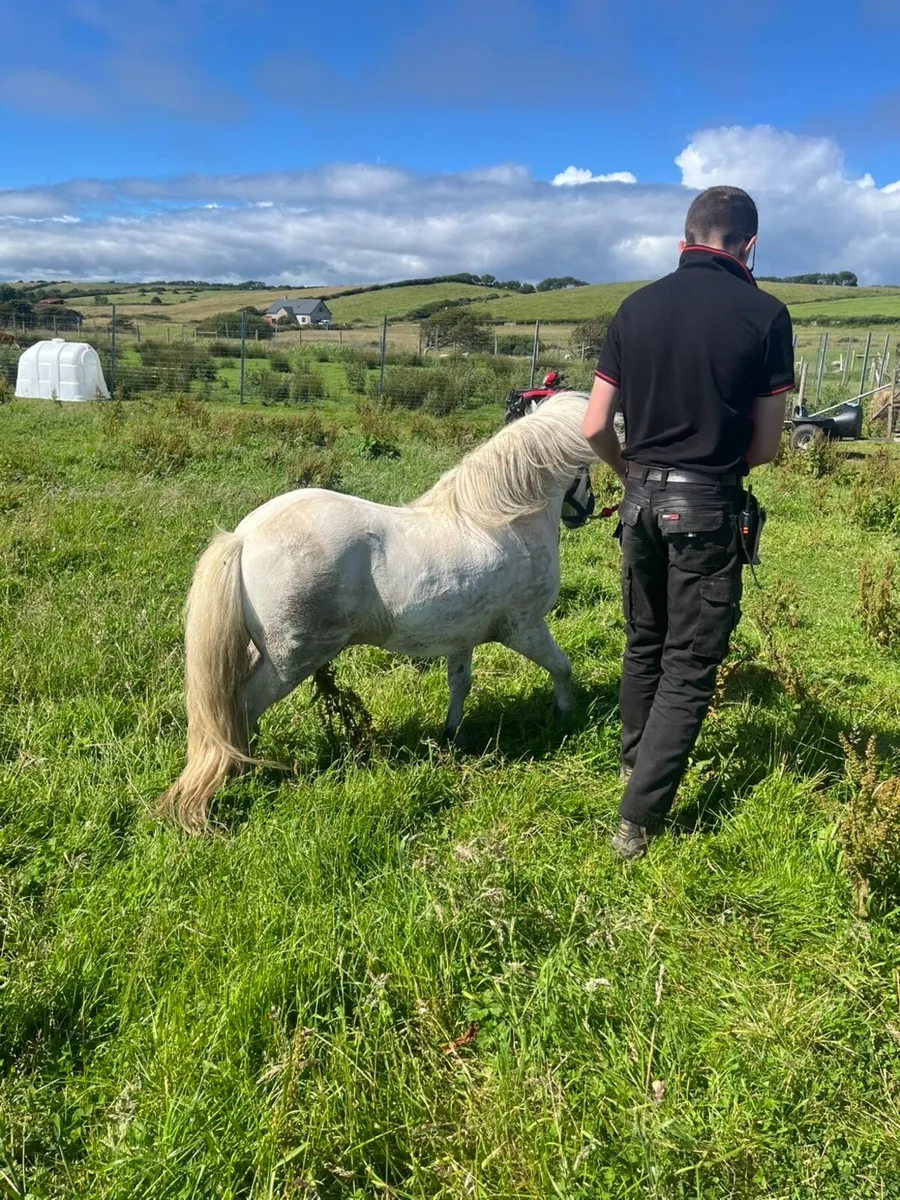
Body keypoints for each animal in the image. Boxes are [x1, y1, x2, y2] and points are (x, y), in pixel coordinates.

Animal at [158, 391, 597, 832]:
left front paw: (453, 735)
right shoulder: (524, 629)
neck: (499, 521)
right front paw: (565, 715)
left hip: (258, 652)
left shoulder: (461, 638)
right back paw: (244, 770)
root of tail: (245, 536)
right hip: (290, 663)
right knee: (244, 706)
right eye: (585, 472)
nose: (585, 511)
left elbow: (460, 684)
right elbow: (562, 667)